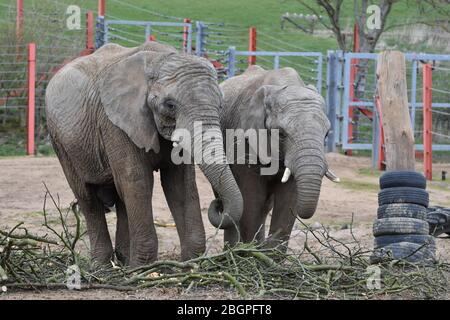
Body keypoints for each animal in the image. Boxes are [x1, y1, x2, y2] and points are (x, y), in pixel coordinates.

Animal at [44, 42, 243, 268]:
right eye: (170, 105)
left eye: (220, 105)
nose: (218, 203)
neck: (158, 59)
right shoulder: (114, 124)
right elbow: (138, 181)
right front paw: (143, 269)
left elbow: (180, 184)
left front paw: (190, 264)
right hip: (61, 141)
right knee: (88, 197)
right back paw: (104, 268)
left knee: (120, 196)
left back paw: (123, 262)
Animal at [216, 65, 340, 248]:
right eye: (281, 134)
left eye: (326, 135)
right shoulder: (243, 136)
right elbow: (251, 199)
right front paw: (249, 252)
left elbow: (288, 200)